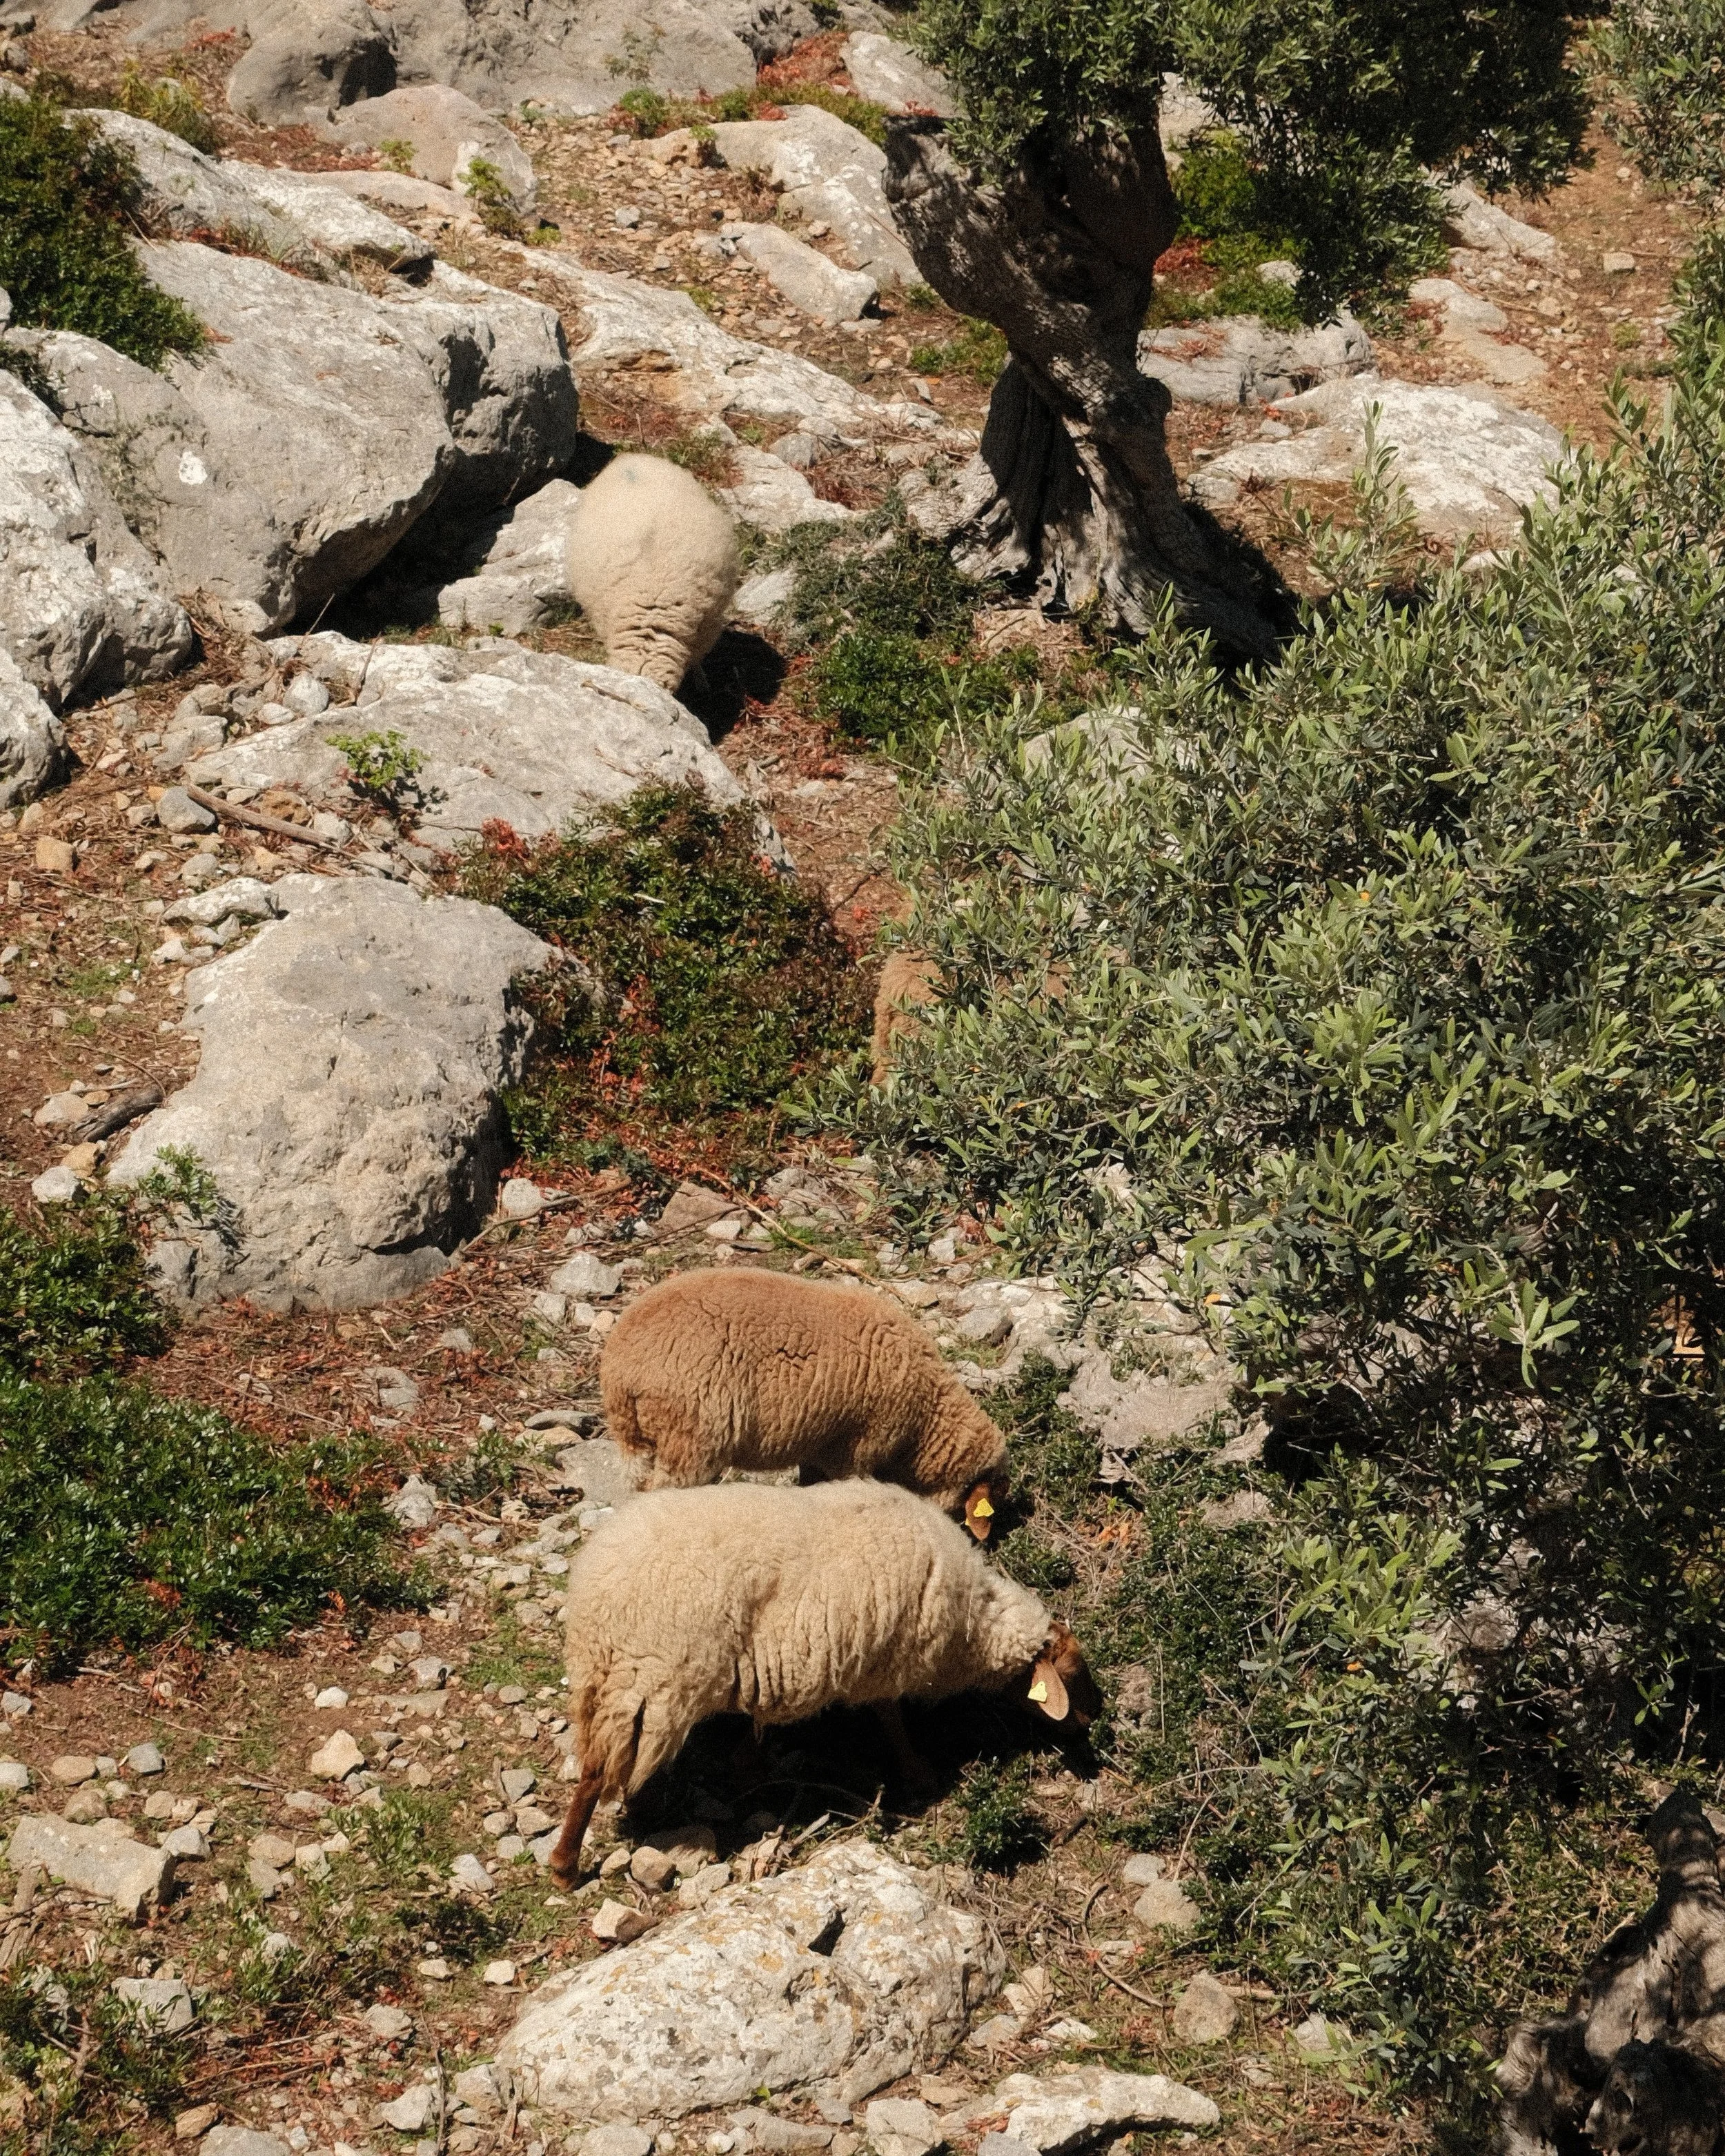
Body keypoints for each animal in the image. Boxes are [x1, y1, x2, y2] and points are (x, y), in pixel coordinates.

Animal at [547, 1478, 1099, 1883]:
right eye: (1073, 1674)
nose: (1091, 1720)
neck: (973, 1625)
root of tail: (598, 1580)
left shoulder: (776, 1665)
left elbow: (759, 1724)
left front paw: (749, 1767)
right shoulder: (889, 1660)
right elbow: (891, 1718)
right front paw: (918, 1772)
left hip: (600, 1673)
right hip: (651, 1674)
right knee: (596, 1770)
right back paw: (565, 1866)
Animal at [600, 1266, 1009, 1538]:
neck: (924, 1423)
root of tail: (620, 1369)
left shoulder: (821, 1446)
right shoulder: (858, 1449)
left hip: (644, 1441)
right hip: (691, 1438)